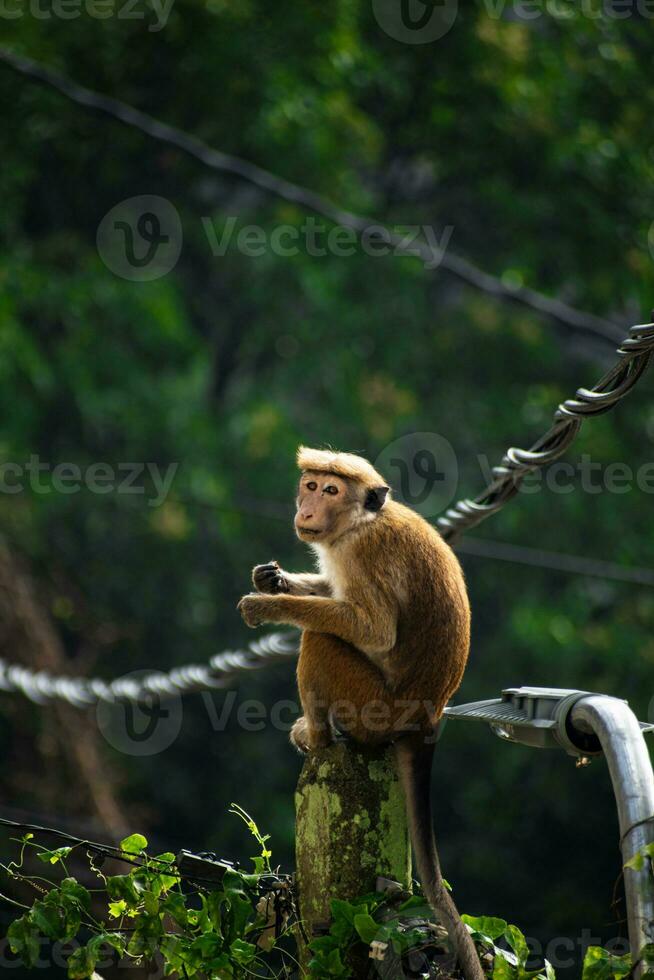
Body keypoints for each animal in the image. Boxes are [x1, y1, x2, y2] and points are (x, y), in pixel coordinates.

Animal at [238, 446, 484, 980]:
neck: (360, 521)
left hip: (372, 708)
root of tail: (427, 719)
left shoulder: (363, 553)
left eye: (332, 491)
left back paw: (319, 739)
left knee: (321, 640)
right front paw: (275, 578)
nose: (308, 509)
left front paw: (269, 603)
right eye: (311, 484)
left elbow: (372, 630)